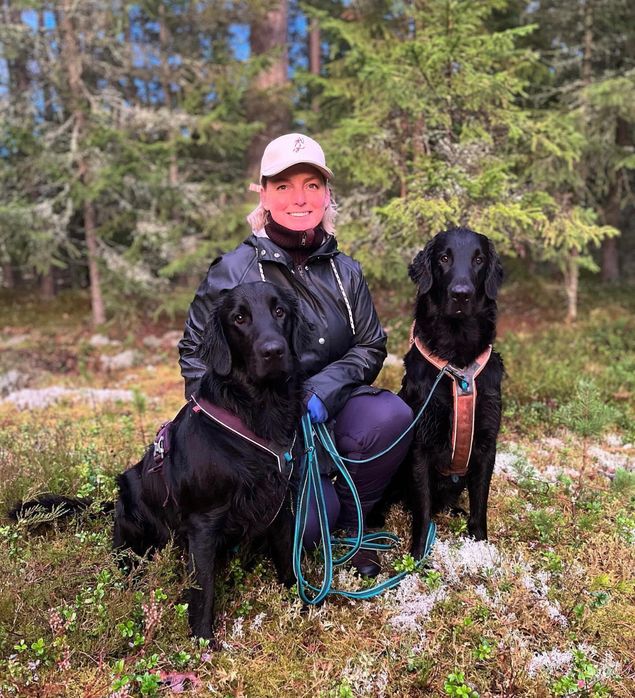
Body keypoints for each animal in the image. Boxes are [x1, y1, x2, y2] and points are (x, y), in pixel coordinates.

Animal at [10, 282, 308, 636]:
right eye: (239, 318)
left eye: (280, 311)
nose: (274, 351)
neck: (258, 411)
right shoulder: (203, 522)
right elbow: (203, 588)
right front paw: (202, 640)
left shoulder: (283, 503)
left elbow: (288, 559)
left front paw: (303, 609)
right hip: (134, 513)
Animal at [400, 227, 504, 556]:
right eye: (444, 258)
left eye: (479, 259)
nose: (461, 294)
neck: (456, 361)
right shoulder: (420, 442)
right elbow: (422, 508)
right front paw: (418, 555)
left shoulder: (487, 443)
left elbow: (480, 503)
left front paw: (481, 547)